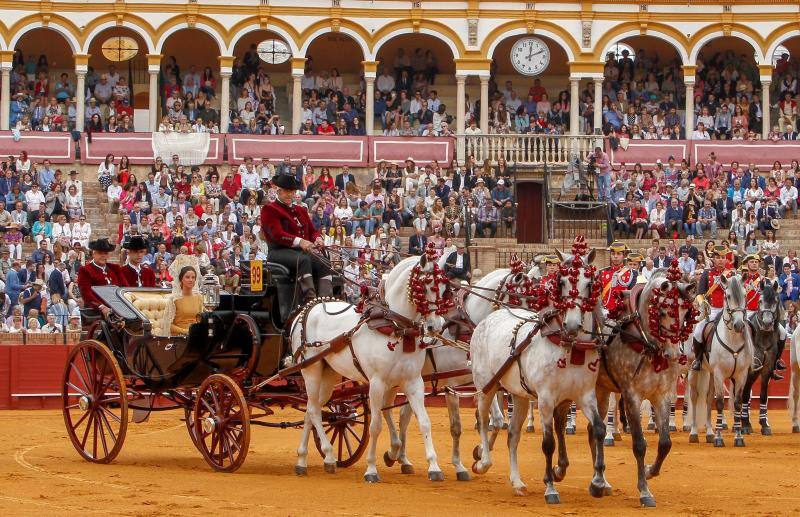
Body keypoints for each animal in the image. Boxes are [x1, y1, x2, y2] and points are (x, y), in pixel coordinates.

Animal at [290, 252, 450, 482]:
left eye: (444, 288)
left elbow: (424, 421)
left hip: (329, 375)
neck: (394, 327)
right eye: (424, 286)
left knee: (312, 410)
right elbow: (375, 425)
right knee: (312, 409)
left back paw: (304, 460)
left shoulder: (413, 382)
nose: (435, 326)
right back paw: (327, 455)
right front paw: (371, 469)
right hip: (311, 370)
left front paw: (434, 467)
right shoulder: (377, 383)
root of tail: (308, 308)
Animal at [468, 248, 608, 502]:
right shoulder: (545, 399)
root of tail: (488, 319)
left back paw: (517, 482)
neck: (570, 346)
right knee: (484, 420)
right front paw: (550, 487)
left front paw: (598, 481)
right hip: (486, 386)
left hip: (520, 396)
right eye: (561, 282)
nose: (572, 325)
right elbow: (549, 442)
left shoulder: (585, 395)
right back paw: (483, 461)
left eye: (590, 283)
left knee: (512, 435)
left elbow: (599, 429)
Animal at [692, 274, 752, 448]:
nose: (739, 325)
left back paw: (709, 433)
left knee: (708, 397)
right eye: (728, 296)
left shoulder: (741, 375)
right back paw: (694, 433)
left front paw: (739, 436)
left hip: (710, 374)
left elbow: (737, 402)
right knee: (694, 397)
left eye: (745, 295)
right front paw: (719, 438)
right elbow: (719, 403)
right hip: (693, 371)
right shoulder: (719, 373)